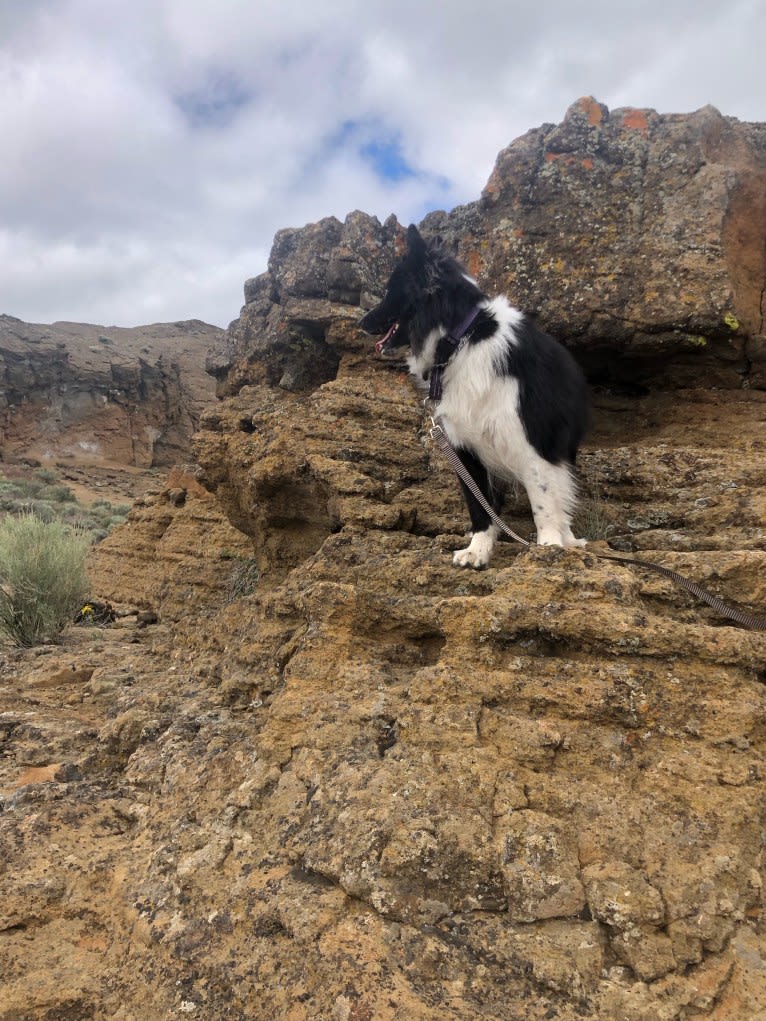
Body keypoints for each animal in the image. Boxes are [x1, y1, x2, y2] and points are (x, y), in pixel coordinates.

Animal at [361, 224, 592, 571]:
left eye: (391, 291)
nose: (361, 322)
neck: (462, 341)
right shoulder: (463, 445)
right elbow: (479, 506)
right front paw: (477, 551)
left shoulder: (533, 440)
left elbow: (543, 499)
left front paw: (548, 546)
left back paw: (568, 540)